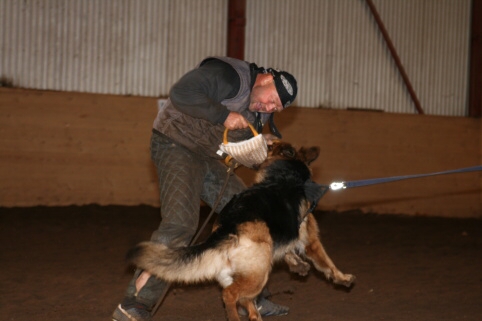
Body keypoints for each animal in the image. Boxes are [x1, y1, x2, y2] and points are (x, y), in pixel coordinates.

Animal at [127, 142, 354, 320]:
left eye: (269, 146)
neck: (284, 174)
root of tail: (228, 227)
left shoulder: (281, 235)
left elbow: (287, 250)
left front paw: (299, 266)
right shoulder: (310, 240)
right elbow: (326, 263)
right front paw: (343, 278)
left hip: (245, 269)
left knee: (247, 303)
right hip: (259, 272)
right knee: (231, 295)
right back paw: (235, 317)